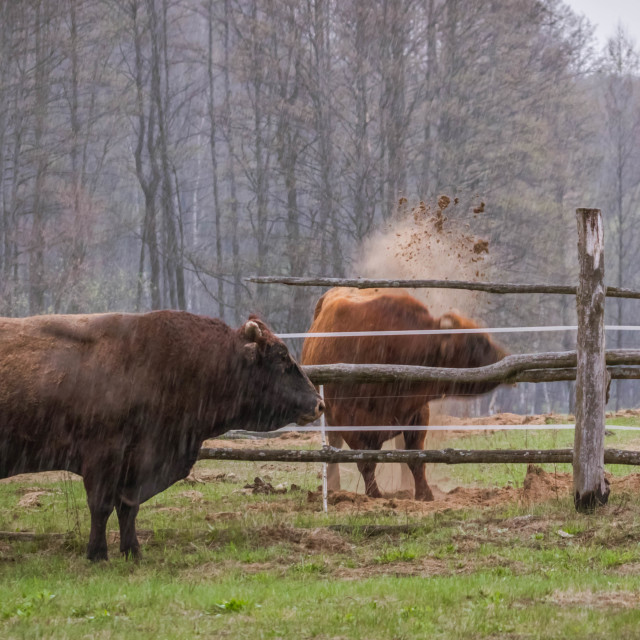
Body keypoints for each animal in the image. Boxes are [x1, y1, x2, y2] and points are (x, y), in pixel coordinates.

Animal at [0, 312, 320, 560]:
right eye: (281, 357)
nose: (318, 403)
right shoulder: (103, 457)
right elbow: (101, 506)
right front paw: (97, 554)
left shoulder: (138, 463)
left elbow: (128, 507)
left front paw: (132, 551)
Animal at [300, 288, 504, 502]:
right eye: (475, 342)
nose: (503, 356)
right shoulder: (348, 423)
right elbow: (366, 462)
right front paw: (375, 495)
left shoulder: (417, 414)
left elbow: (415, 458)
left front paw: (424, 494)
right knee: (335, 445)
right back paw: (333, 487)